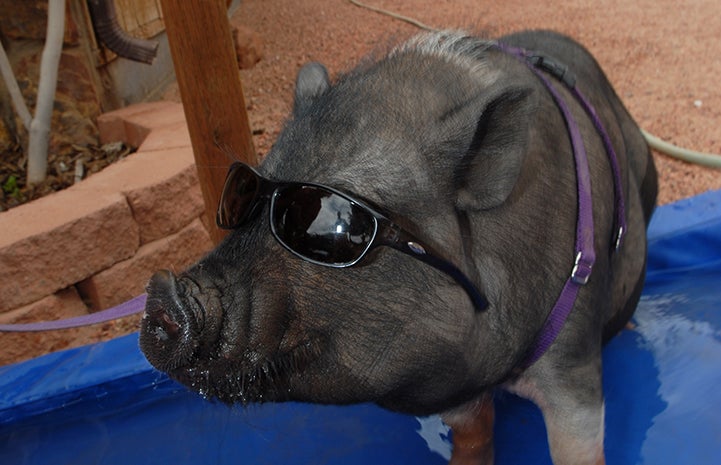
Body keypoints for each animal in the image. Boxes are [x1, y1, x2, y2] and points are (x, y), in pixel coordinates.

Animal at [141, 29, 660, 464]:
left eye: (327, 227)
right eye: (240, 197)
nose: (162, 293)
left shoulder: (573, 360)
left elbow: (579, 446)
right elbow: (473, 434)